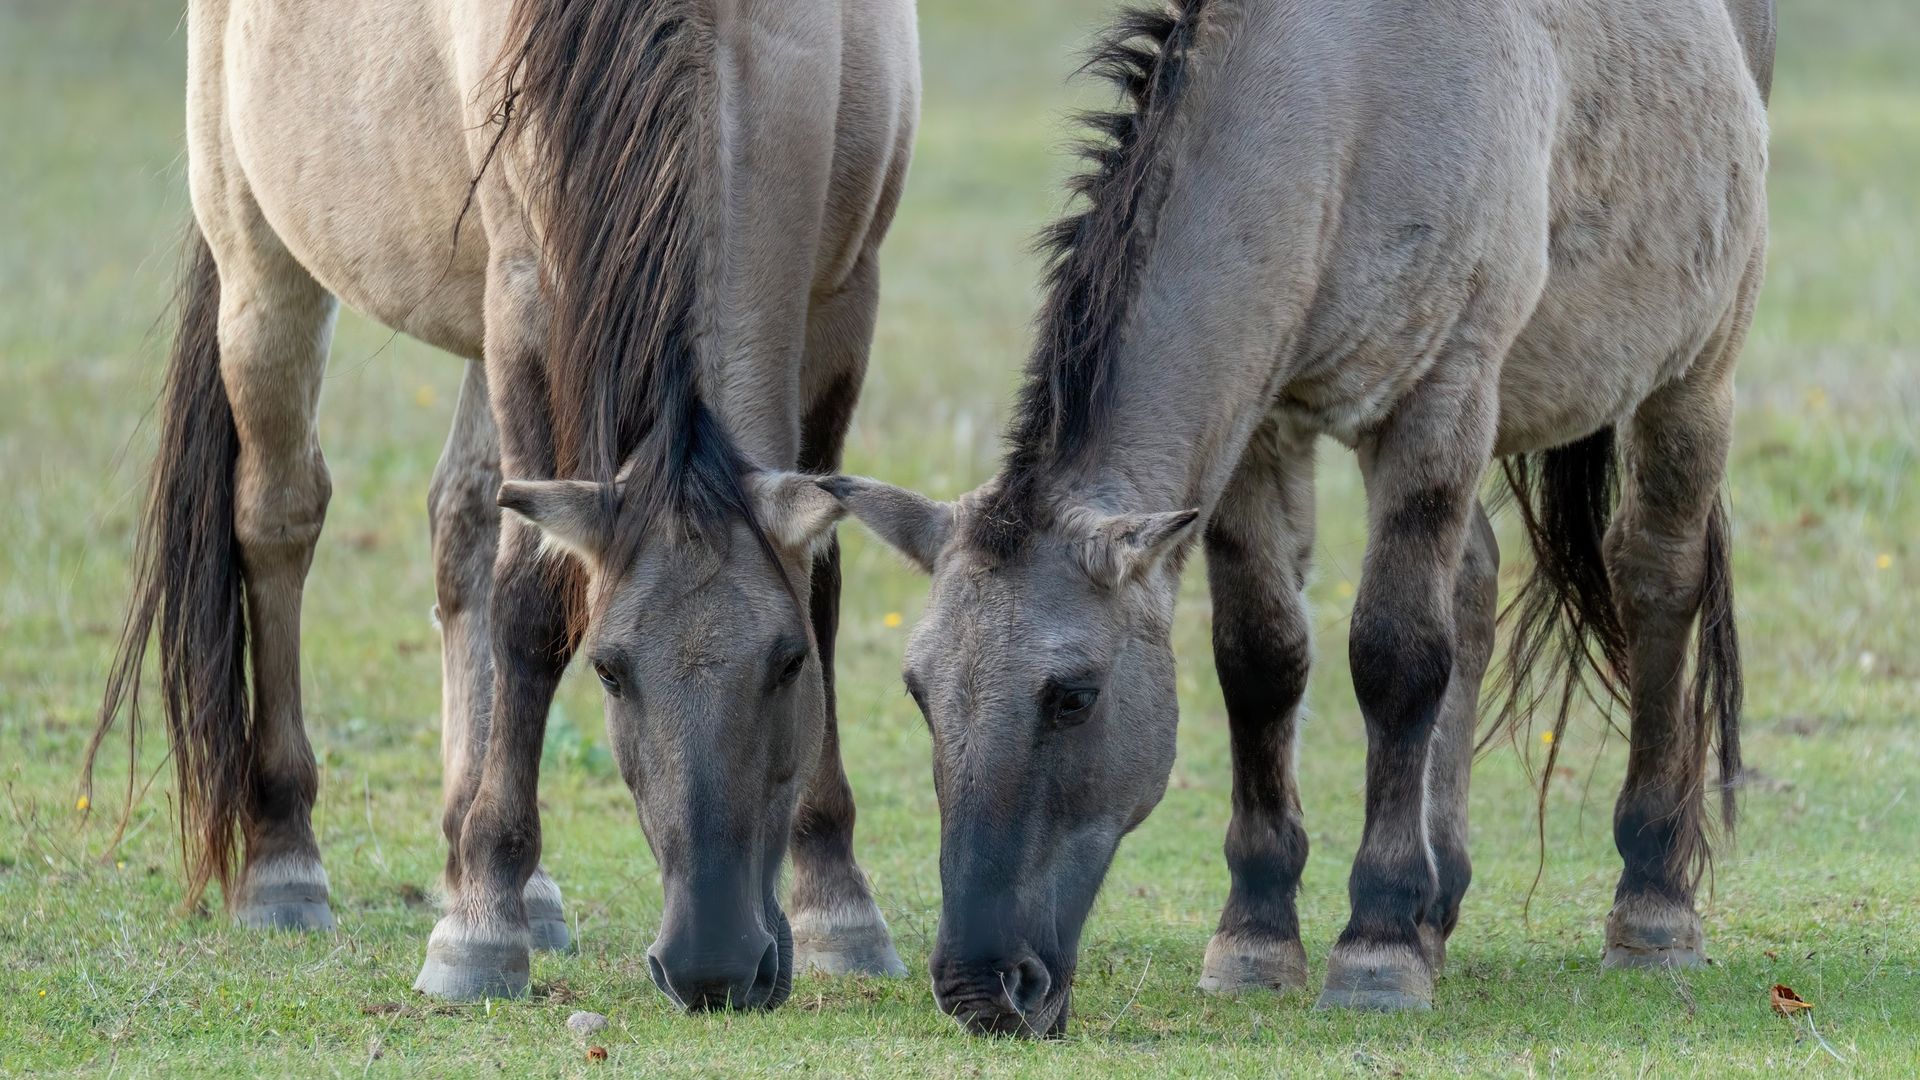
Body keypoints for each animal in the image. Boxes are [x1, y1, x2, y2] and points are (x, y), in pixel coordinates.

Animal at [84, 0, 919, 1010]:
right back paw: (288, 860)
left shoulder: (846, 296)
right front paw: (478, 928)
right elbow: (529, 604)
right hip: (261, 262)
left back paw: (502, 869)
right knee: (278, 522)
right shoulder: (529, 299)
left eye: (787, 662)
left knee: (463, 527)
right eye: (610, 671)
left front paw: (839, 900)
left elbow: (824, 588)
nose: (713, 964)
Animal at [825, 0, 1772, 1035]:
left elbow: (1396, 657)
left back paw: (1652, 904)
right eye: (920, 692)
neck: (1348, 92)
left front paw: (1377, 947)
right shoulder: (1262, 433)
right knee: (1475, 585)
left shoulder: (1440, 404)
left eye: (1072, 696)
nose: (983, 988)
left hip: (1697, 376)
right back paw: (1440, 905)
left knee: (1654, 582)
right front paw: (1258, 936)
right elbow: (1261, 661)